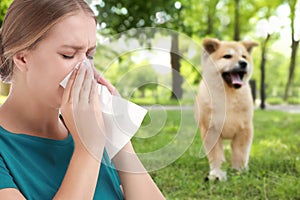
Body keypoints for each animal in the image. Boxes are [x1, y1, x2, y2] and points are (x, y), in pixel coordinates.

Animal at [195, 38, 258, 181]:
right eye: (227, 56)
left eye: (244, 56)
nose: (243, 63)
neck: (228, 96)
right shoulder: (211, 130)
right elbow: (216, 155)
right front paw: (217, 174)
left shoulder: (244, 130)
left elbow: (240, 153)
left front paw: (239, 172)